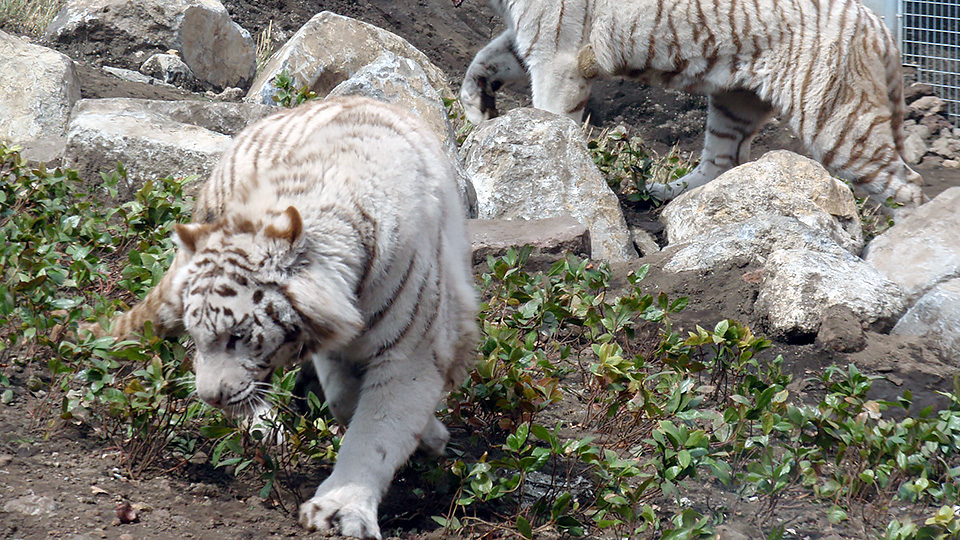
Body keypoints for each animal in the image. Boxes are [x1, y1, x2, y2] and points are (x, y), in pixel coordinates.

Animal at [88, 97, 478, 540]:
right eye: (200, 336)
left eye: (237, 336)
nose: (209, 398)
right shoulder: (337, 341)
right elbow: (346, 401)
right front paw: (426, 438)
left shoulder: (412, 352)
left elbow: (376, 430)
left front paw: (342, 510)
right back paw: (266, 427)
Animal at [462, 0, 928, 209]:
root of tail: (880, 28)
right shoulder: (533, 41)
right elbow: (484, 62)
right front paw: (478, 111)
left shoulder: (557, 54)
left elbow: (549, 116)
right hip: (734, 101)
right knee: (721, 161)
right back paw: (662, 195)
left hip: (837, 122)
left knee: (909, 186)